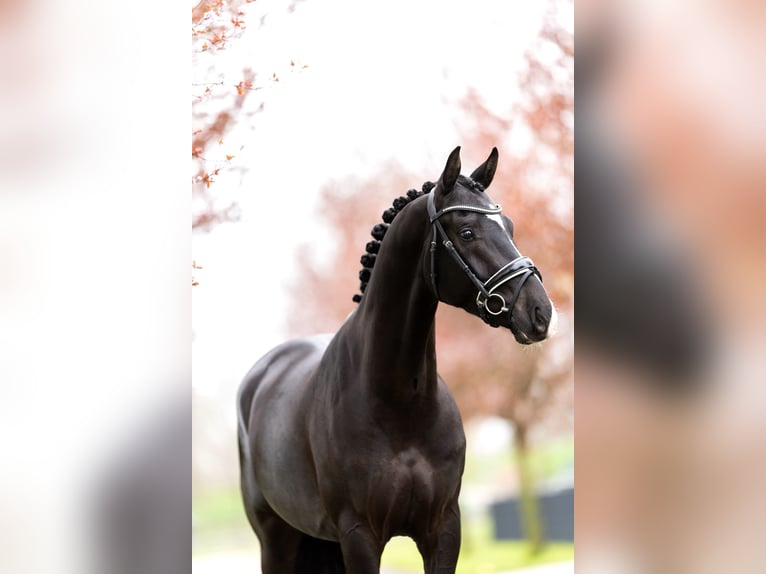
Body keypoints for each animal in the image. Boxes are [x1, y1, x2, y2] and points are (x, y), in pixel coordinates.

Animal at [237, 146, 555, 573]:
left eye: (510, 226)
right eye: (467, 232)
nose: (540, 312)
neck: (401, 403)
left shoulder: (443, 529)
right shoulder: (359, 536)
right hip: (276, 539)